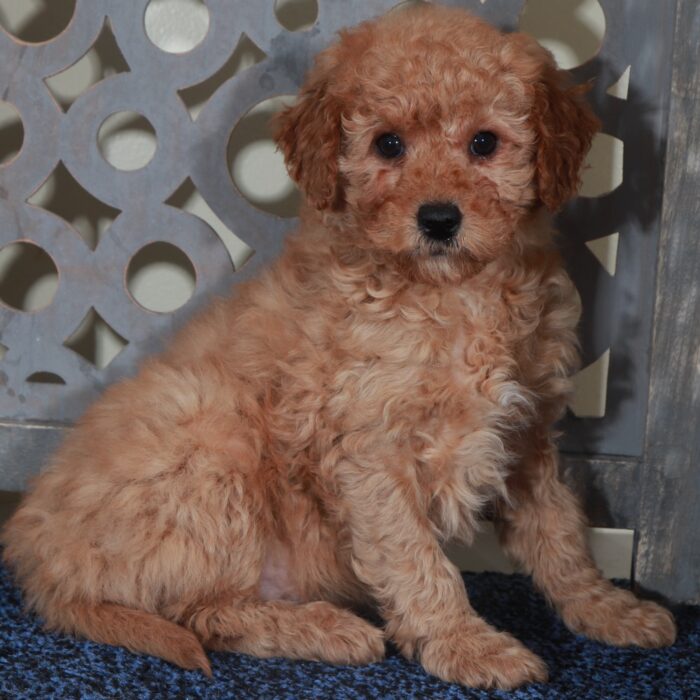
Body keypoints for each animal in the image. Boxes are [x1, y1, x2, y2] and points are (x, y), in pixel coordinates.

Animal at [2, 5, 676, 692]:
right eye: (389, 145)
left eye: (484, 143)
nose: (438, 219)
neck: (451, 293)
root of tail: (41, 557)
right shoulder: (370, 448)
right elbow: (418, 561)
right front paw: (467, 645)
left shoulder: (528, 434)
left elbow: (561, 534)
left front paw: (608, 609)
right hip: (211, 442)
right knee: (200, 611)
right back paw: (329, 629)